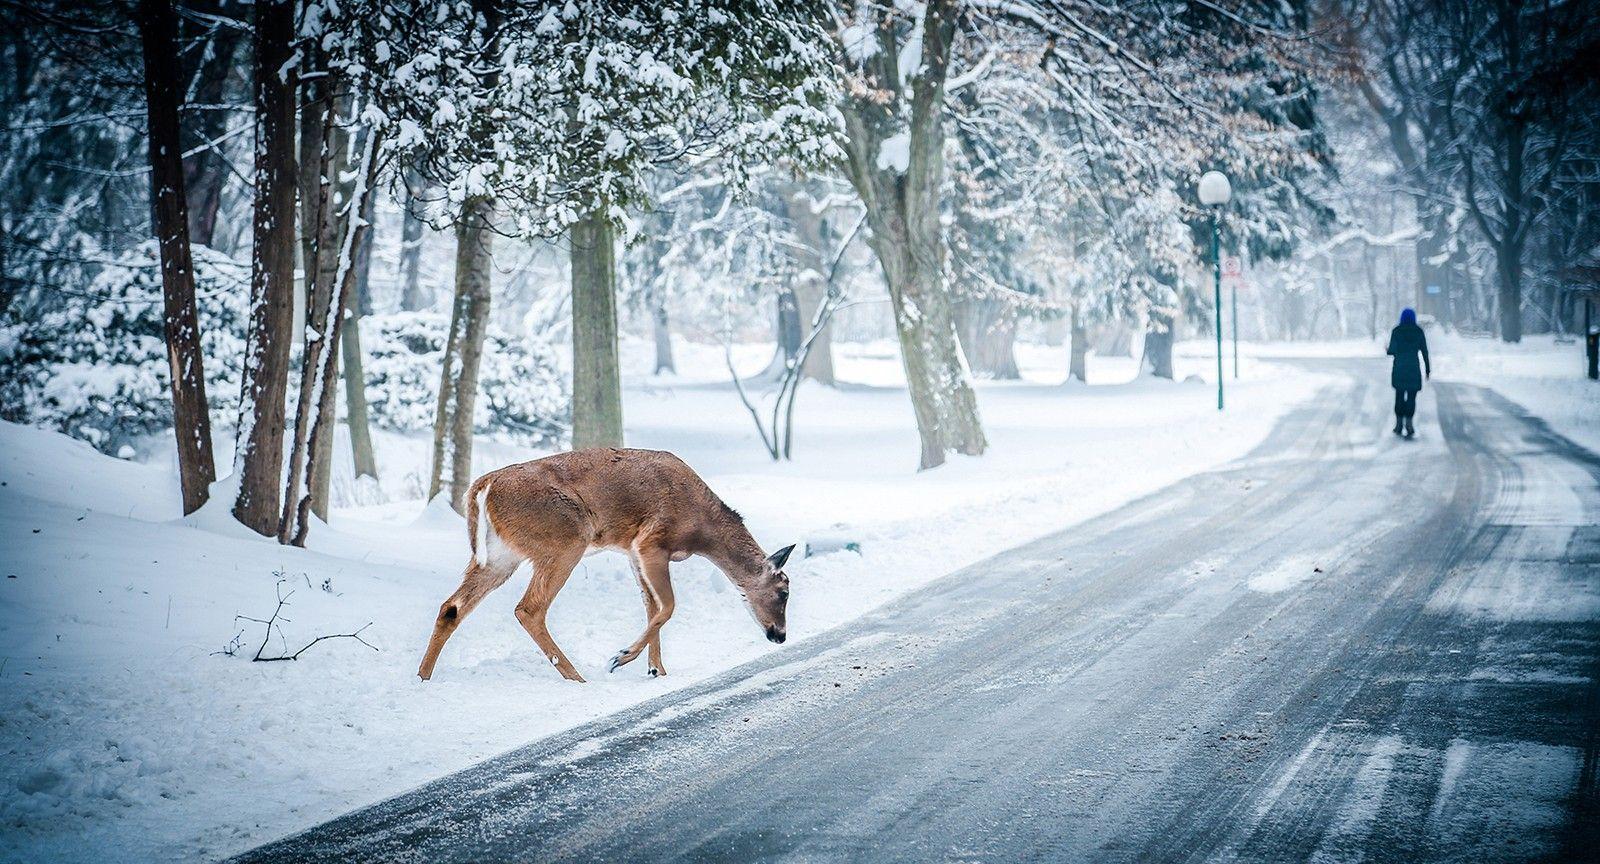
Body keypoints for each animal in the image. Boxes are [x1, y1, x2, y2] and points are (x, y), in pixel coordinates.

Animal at [416, 448, 796, 684]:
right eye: (784, 591)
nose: (780, 636)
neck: (702, 529)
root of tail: (482, 488)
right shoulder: (651, 540)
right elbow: (668, 606)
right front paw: (621, 657)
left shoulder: (632, 551)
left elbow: (651, 606)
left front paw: (656, 670)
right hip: (565, 538)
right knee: (529, 608)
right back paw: (577, 677)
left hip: (500, 555)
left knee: (451, 607)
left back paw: (423, 677)